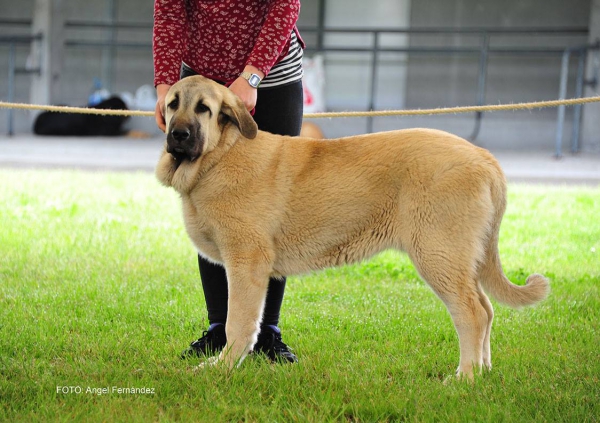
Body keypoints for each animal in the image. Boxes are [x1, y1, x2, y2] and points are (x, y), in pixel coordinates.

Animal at [155, 76, 548, 380]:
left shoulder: (246, 265)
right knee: (487, 309)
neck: (220, 155)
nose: (179, 134)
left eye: (204, 109)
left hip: (439, 256)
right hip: (460, 260)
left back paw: (465, 377)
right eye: (173, 104)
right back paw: (483, 371)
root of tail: (485, 159)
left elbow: (237, 324)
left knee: (473, 313)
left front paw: (221, 368)